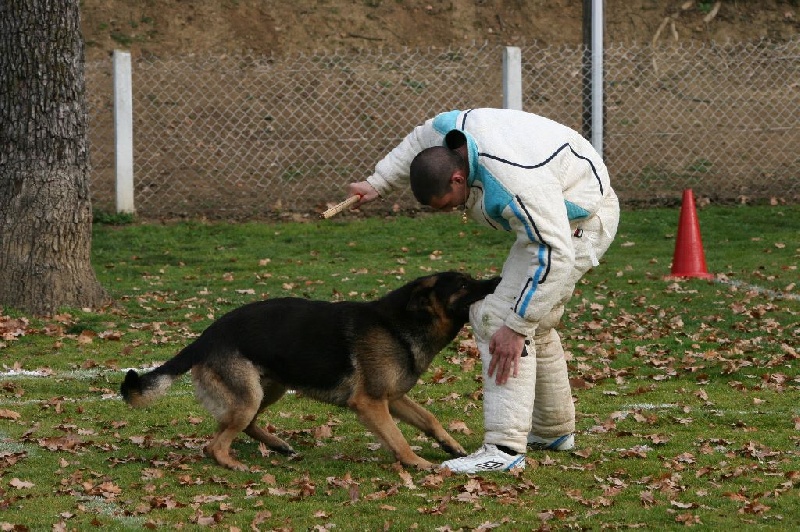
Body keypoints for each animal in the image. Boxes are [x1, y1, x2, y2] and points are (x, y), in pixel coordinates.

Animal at [121, 272, 496, 472]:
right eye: (463, 285)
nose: (497, 279)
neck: (402, 324)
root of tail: (205, 336)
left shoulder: (391, 397)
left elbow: (430, 418)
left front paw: (452, 446)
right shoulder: (371, 403)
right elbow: (398, 439)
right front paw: (417, 463)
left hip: (266, 390)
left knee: (232, 426)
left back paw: (276, 445)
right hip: (252, 395)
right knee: (215, 443)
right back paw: (231, 462)